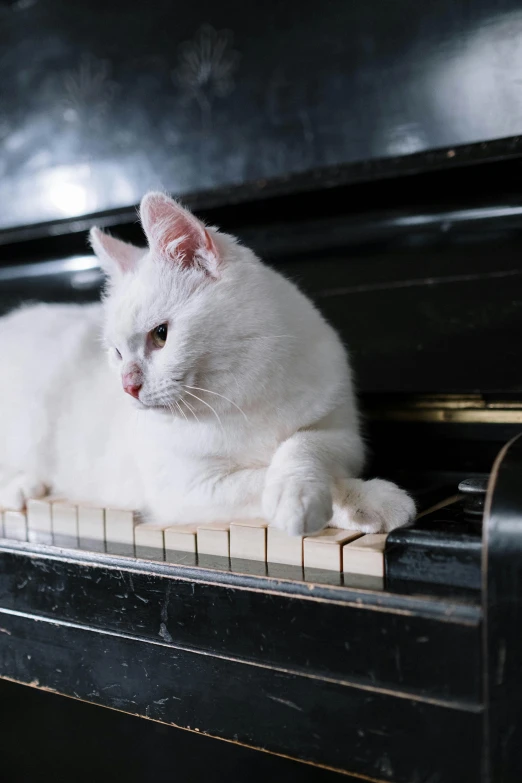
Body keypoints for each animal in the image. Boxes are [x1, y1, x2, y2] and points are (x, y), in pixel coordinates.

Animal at [0, 194, 414, 540]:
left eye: (161, 335)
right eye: (116, 353)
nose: (127, 386)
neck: (239, 396)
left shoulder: (344, 436)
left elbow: (301, 446)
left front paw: (311, 492)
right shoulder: (190, 490)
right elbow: (263, 478)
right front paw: (351, 501)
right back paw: (22, 488)